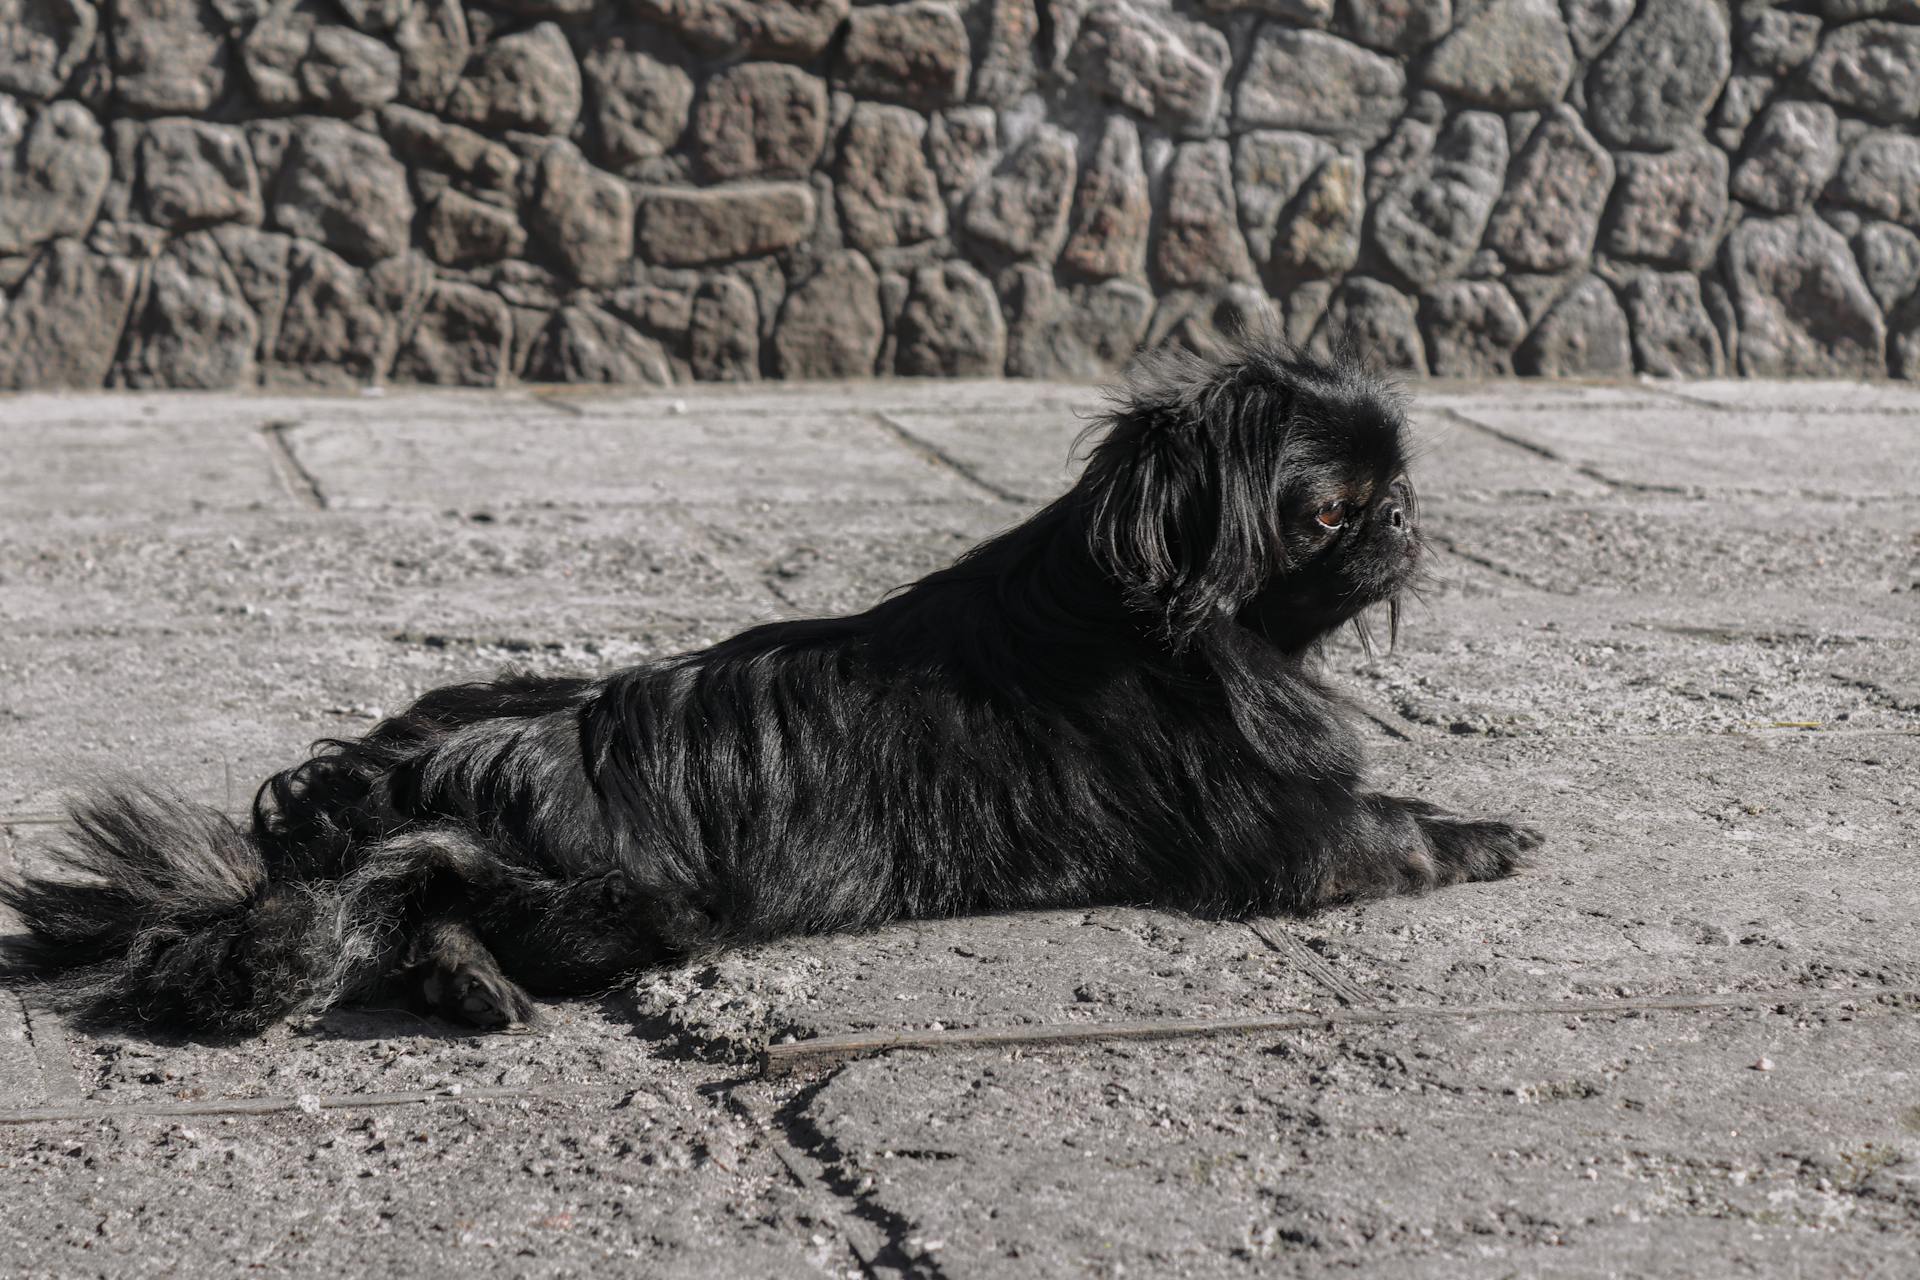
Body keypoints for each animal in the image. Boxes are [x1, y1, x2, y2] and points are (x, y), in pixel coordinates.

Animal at [0, 345, 1536, 1036]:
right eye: (1332, 512)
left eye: (1393, 484)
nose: (1407, 515)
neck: (1183, 623)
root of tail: (391, 774)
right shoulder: (1291, 834)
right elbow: (1399, 827)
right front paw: (1492, 832)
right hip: (643, 901)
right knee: (432, 891)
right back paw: (469, 974)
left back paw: (465, 985)